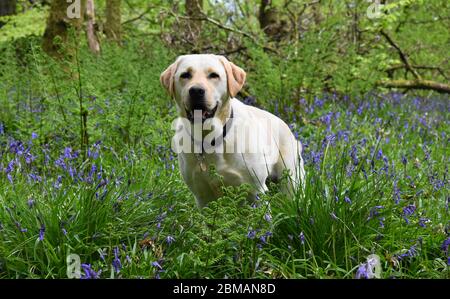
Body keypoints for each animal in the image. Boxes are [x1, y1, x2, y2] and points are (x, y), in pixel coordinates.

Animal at [160, 54, 304, 207]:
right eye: (185, 75)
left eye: (214, 75)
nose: (196, 91)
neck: (209, 138)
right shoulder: (202, 196)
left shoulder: (256, 190)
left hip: (291, 182)